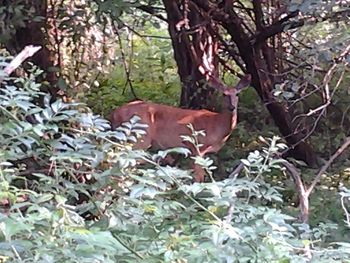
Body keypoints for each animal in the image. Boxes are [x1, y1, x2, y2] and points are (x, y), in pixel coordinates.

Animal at [110, 73, 250, 183]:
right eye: (224, 94)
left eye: (237, 94)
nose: (232, 107)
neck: (217, 125)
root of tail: (115, 113)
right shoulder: (197, 146)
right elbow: (199, 176)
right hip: (140, 137)